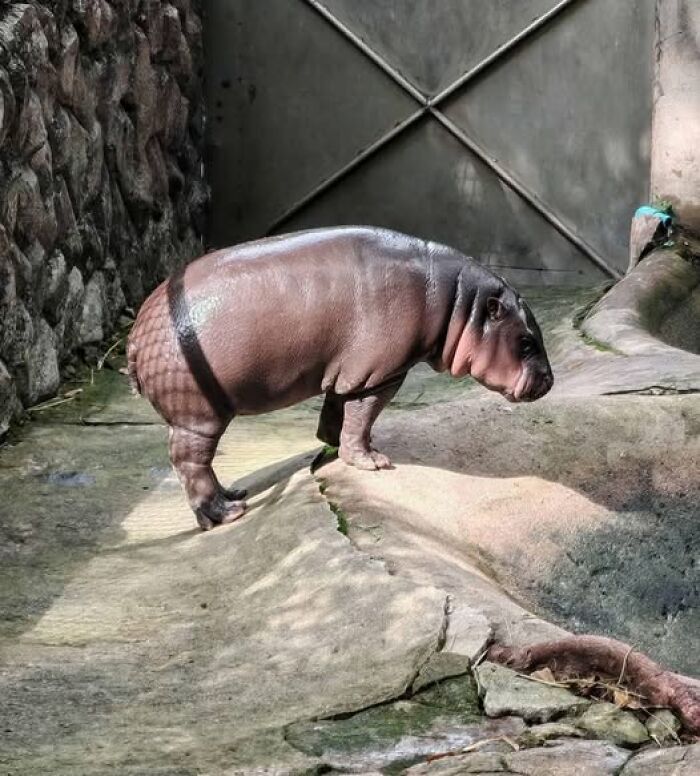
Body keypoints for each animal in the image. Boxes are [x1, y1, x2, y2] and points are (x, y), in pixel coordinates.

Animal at [127, 227, 553, 530]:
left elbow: (338, 411)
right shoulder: (381, 373)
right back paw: (227, 514)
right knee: (190, 463)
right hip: (199, 415)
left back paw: (236, 494)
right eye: (527, 341)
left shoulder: (349, 371)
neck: (459, 304)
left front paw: (331, 447)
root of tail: (134, 335)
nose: (550, 381)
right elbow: (362, 416)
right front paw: (374, 462)